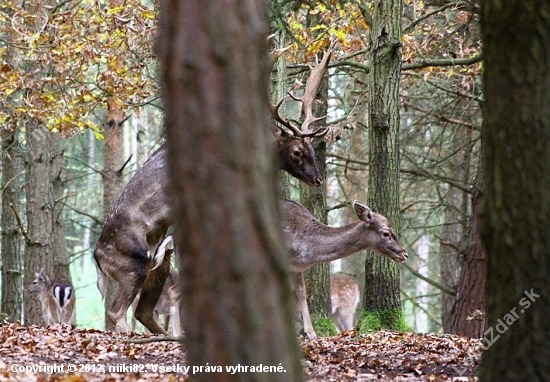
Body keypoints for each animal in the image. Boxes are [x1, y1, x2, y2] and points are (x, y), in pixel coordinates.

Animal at [94, 48, 332, 334]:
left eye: (311, 149)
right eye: (297, 151)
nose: (318, 178)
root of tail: (97, 258)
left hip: (154, 266)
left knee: (142, 312)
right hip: (133, 266)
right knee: (116, 311)